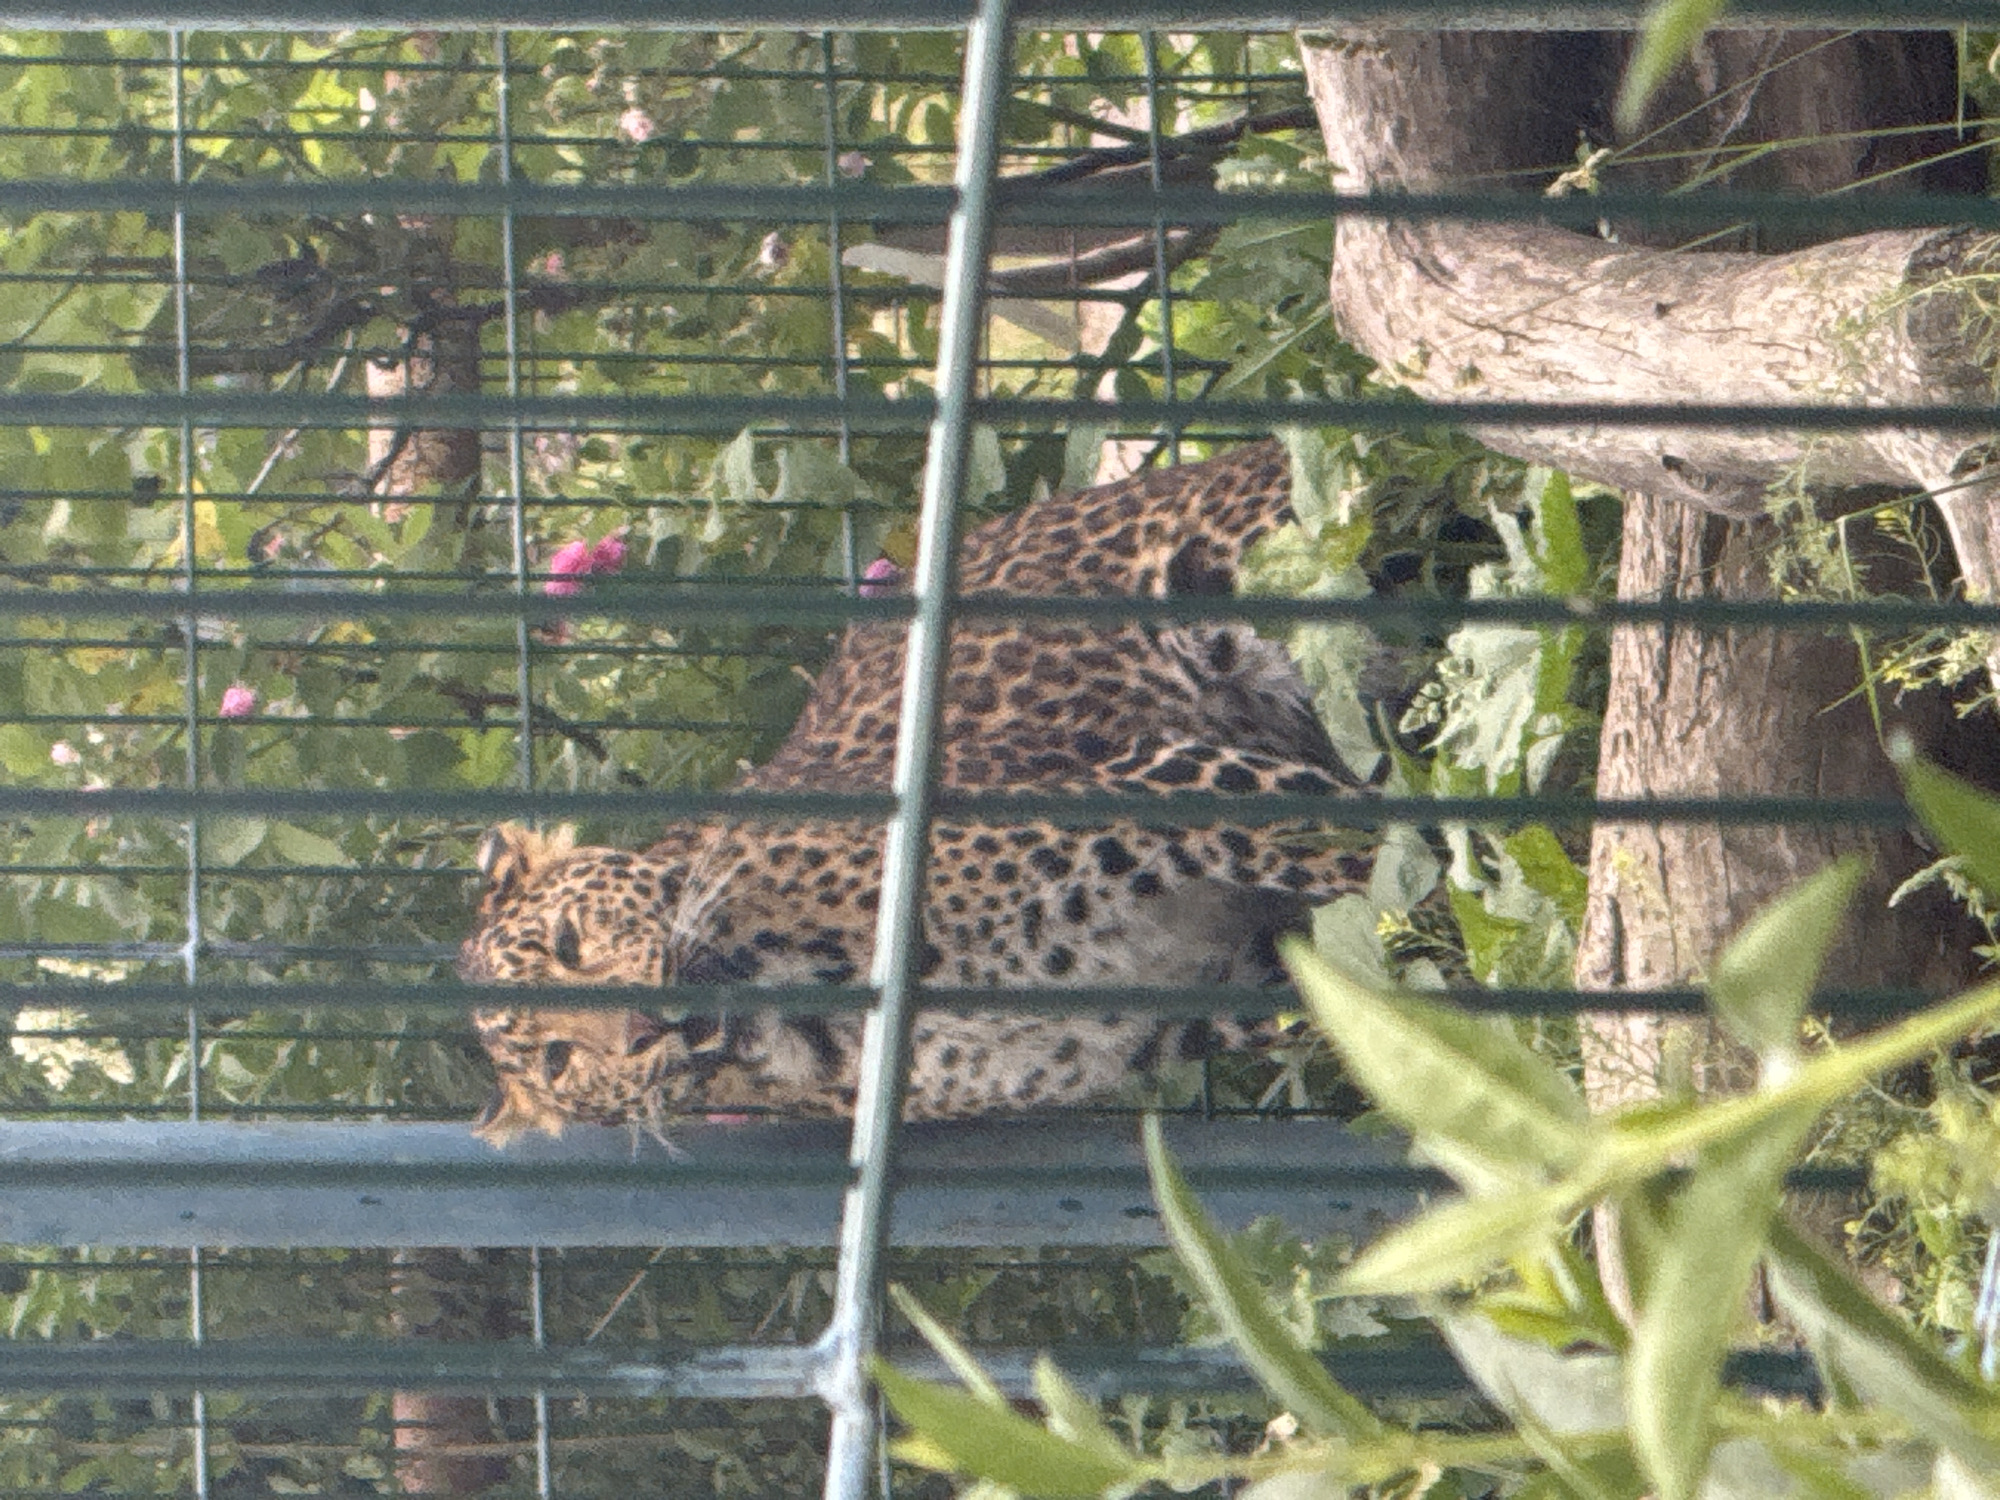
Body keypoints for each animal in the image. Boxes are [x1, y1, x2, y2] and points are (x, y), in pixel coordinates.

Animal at [459, 439, 1377, 1145]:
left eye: (570, 941)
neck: (792, 1012)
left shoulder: (1142, 796)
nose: (641, 1028)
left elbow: (1359, 849)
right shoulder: (1207, 986)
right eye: (557, 1060)